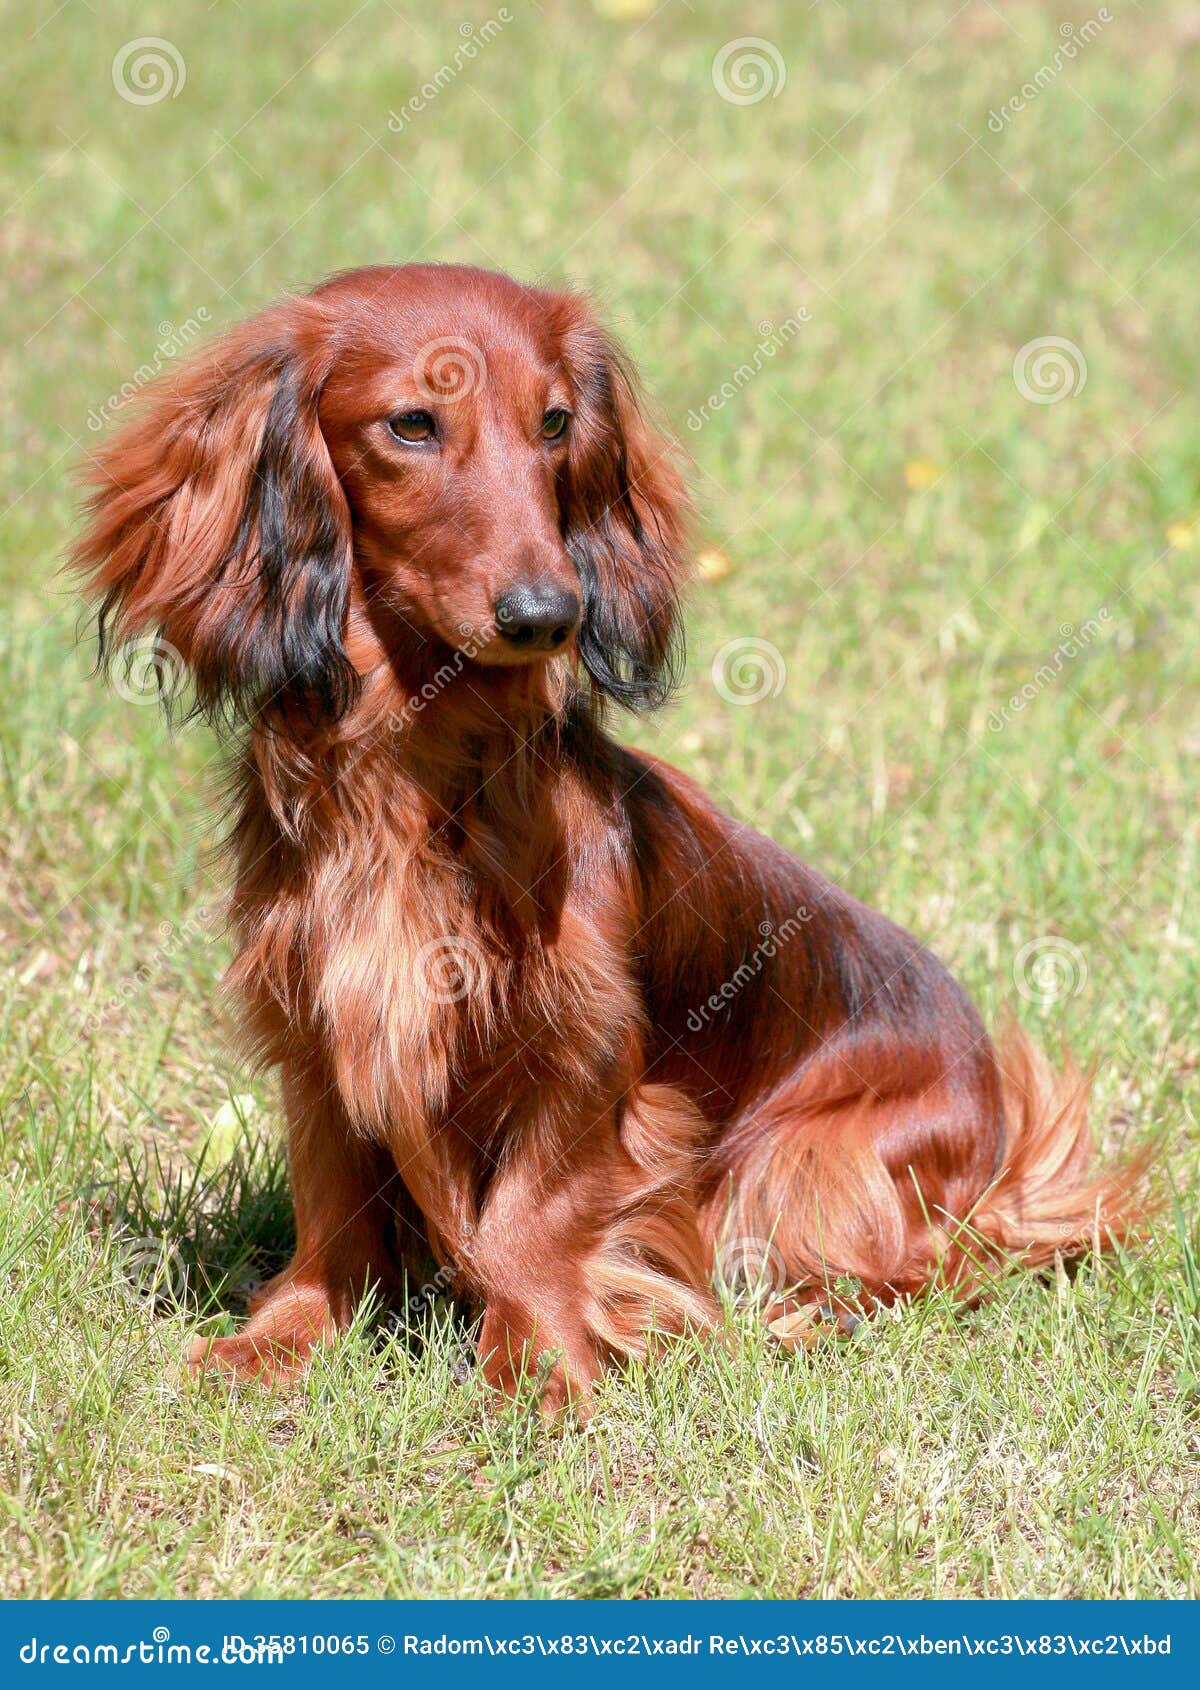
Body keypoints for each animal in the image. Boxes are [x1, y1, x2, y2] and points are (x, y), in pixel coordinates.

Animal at [75, 260, 1149, 1399]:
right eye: (412, 423)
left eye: (554, 422)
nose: (549, 612)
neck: (416, 776)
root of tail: (998, 1131)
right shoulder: (323, 1025)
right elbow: (334, 1204)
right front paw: (284, 1337)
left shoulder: (585, 1048)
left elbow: (529, 1217)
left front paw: (538, 1364)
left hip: (806, 1160)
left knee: (918, 1269)